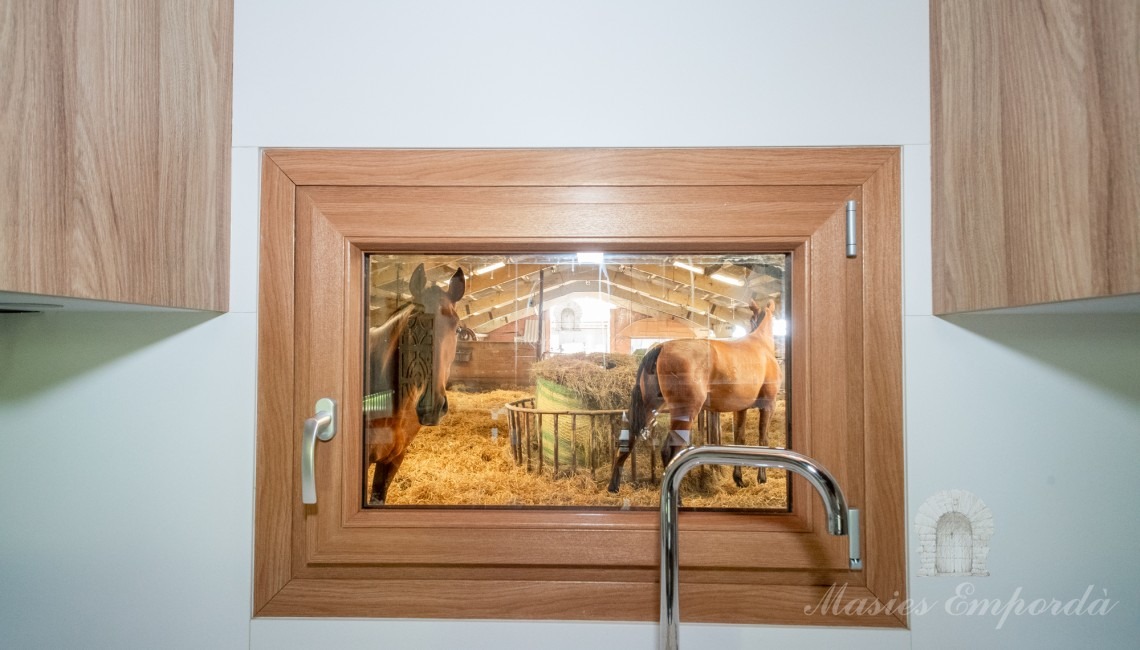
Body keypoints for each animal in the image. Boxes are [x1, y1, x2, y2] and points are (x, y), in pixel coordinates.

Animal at [606, 298, 784, 490]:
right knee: (669, 449)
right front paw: (762, 479)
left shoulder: (740, 409)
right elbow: (763, 439)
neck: (760, 344)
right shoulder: (768, 404)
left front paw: (739, 479)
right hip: (685, 412)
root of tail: (661, 346)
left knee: (629, 439)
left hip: (649, 407)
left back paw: (614, 486)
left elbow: (739, 440)